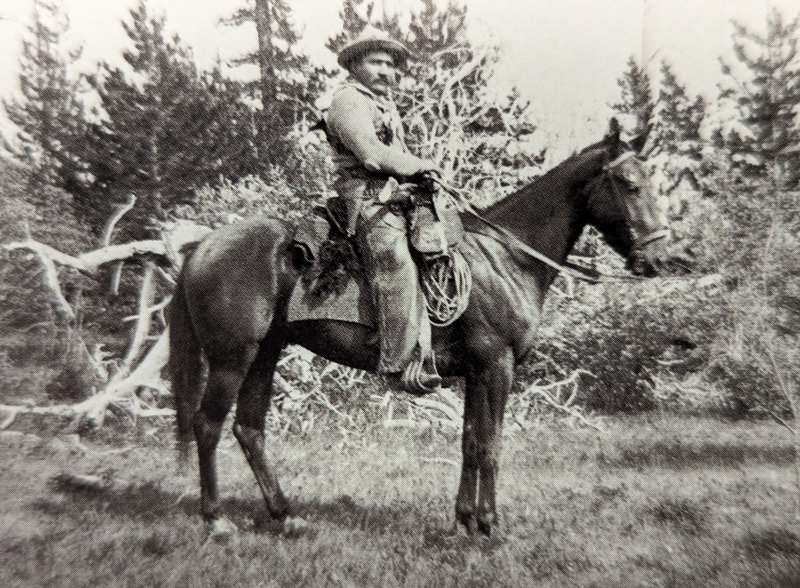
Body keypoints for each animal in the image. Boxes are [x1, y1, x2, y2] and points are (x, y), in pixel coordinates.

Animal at [167, 118, 688, 536]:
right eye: (629, 183)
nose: (659, 258)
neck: (506, 258)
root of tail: (202, 246)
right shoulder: (497, 367)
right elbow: (492, 445)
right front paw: (491, 527)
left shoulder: (478, 371)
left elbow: (470, 443)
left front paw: (464, 522)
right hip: (232, 357)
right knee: (208, 425)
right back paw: (217, 520)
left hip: (265, 353)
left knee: (249, 429)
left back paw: (286, 516)